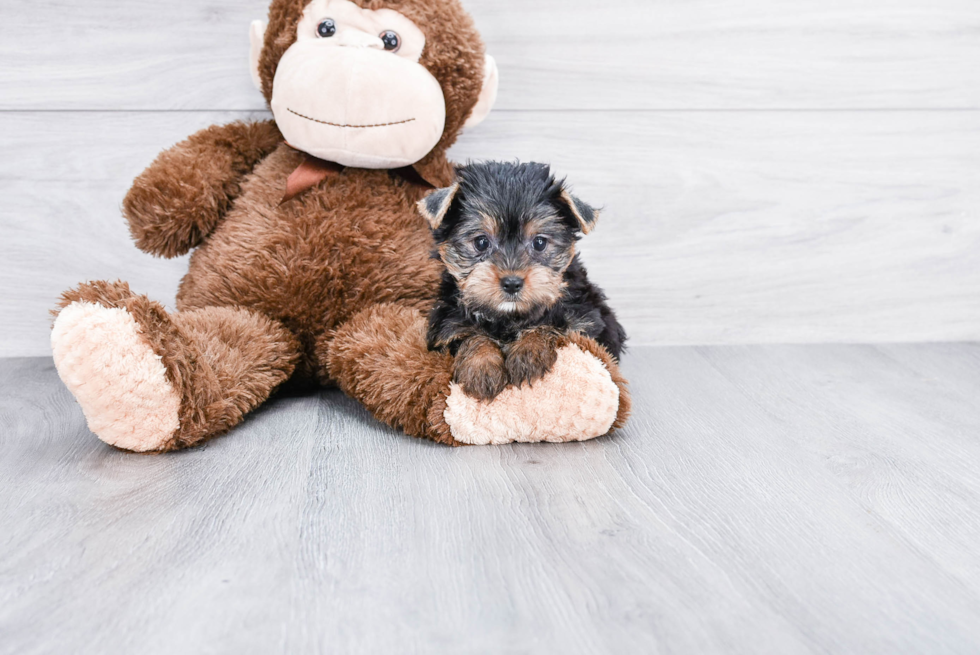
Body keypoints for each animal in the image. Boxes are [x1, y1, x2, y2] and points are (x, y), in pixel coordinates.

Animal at [418, 161, 624, 402]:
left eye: (539, 243)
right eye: (481, 242)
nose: (512, 283)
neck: (509, 317)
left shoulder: (585, 318)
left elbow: (553, 323)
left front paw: (528, 352)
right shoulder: (446, 322)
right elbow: (468, 332)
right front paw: (482, 367)